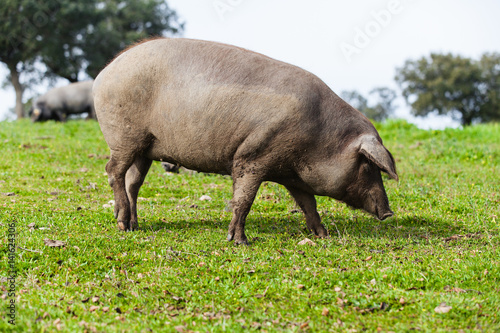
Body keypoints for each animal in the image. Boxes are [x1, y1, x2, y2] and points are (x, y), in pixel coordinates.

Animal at [93, 37, 398, 244]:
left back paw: (133, 225)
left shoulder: (292, 175)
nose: (388, 213)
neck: (320, 138)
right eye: (368, 165)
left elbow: (308, 203)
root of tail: (102, 74)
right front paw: (239, 242)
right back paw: (122, 224)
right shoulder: (252, 156)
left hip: (144, 148)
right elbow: (244, 199)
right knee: (113, 171)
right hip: (124, 137)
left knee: (133, 182)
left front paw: (323, 235)